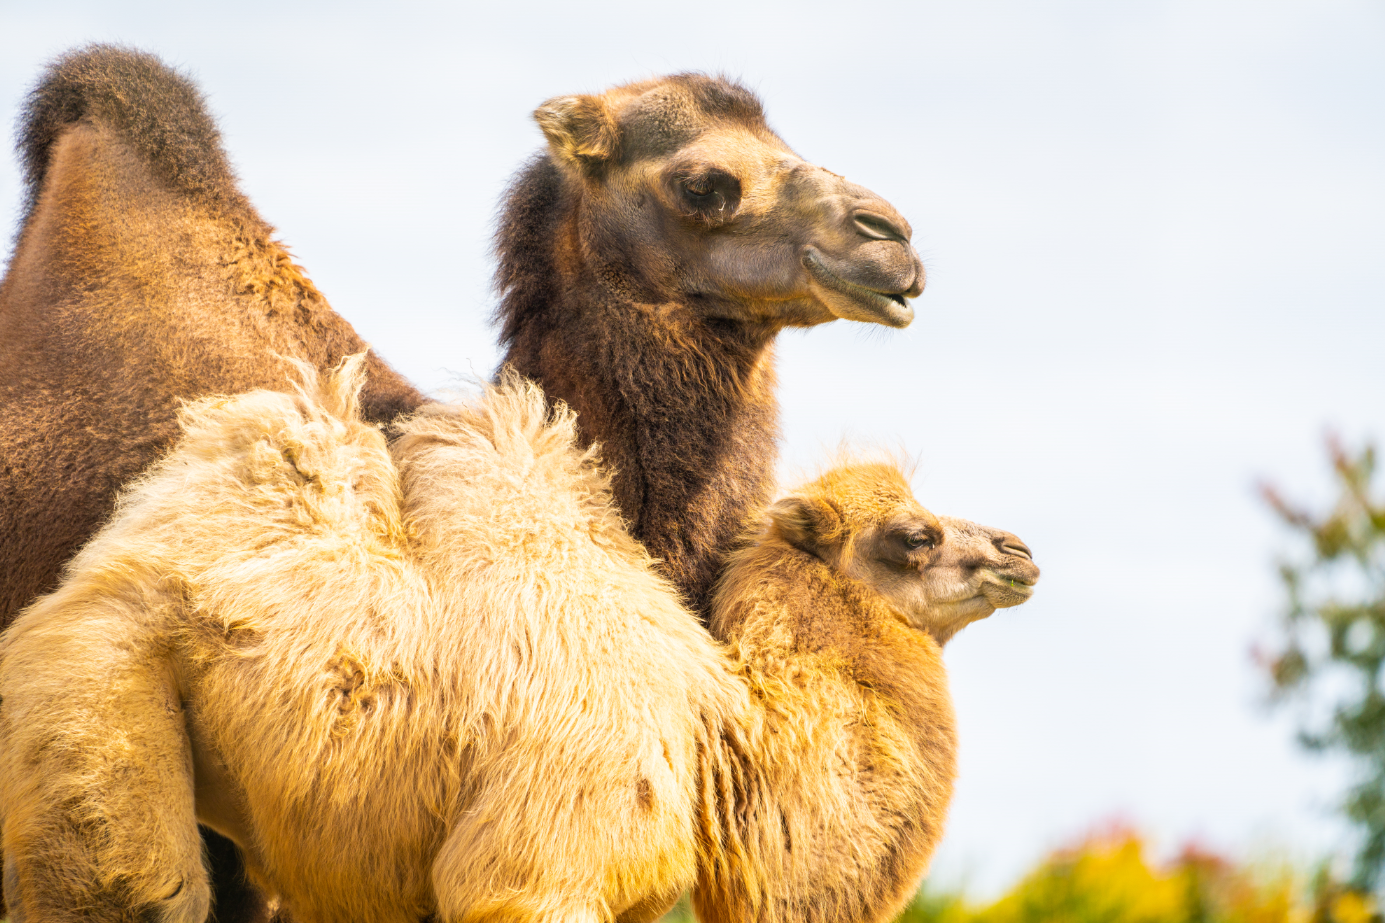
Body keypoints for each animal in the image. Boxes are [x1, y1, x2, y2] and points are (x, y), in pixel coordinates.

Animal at [0, 360, 1038, 923]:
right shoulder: (543, 860)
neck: (716, 746)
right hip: (97, 683)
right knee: (133, 886)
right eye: (911, 537)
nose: (1018, 551)